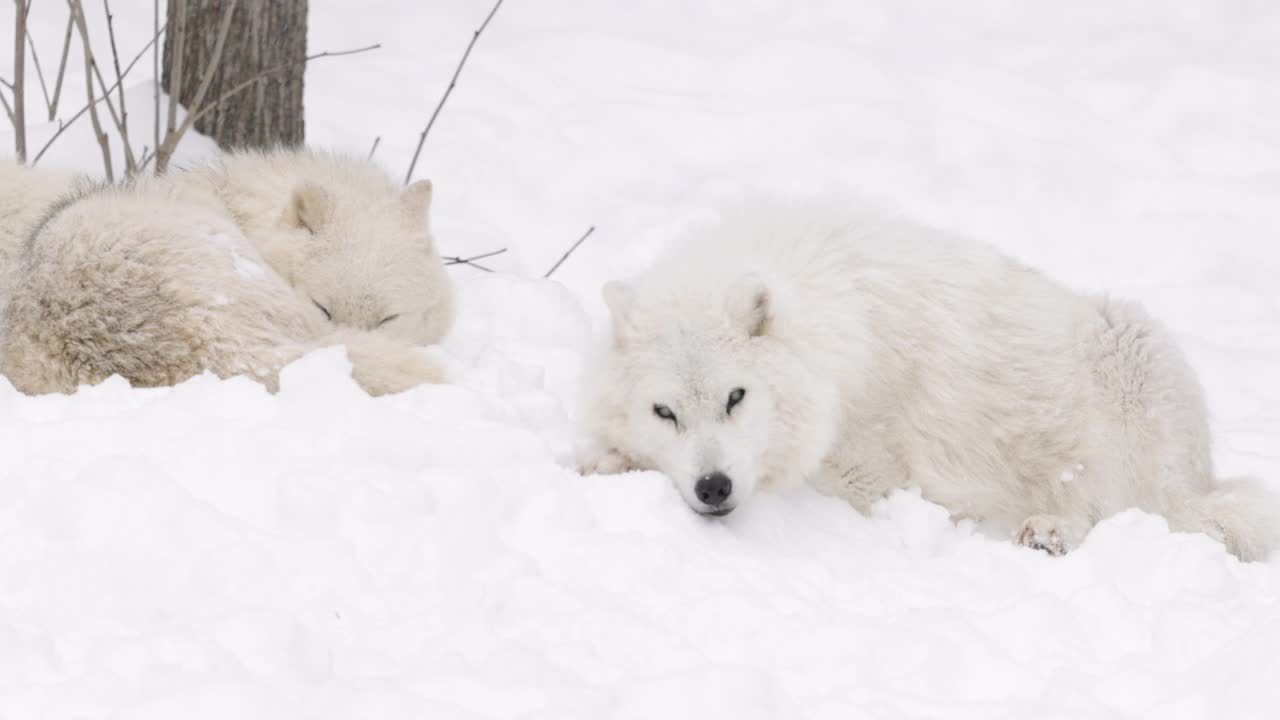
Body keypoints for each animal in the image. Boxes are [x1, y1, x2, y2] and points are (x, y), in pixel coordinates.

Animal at [583, 196, 1280, 561]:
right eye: (665, 413)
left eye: (736, 397)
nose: (713, 487)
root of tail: (1204, 477)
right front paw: (600, 461)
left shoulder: (869, 471)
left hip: (1129, 359)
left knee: (1120, 512)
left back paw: (1047, 533)